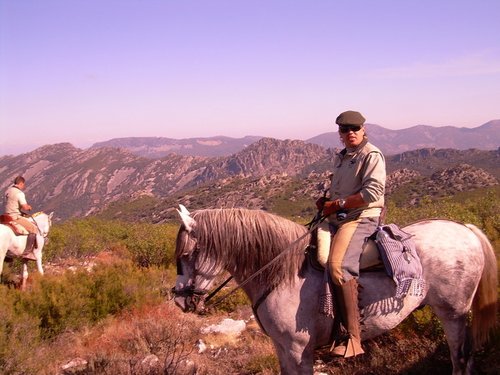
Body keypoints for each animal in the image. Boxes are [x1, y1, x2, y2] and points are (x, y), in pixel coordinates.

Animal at [172, 207, 496, 374]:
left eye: (187, 254)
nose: (179, 300)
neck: (283, 272)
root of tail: (466, 229)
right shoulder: (282, 348)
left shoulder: (298, 350)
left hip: (453, 315)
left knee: (460, 358)